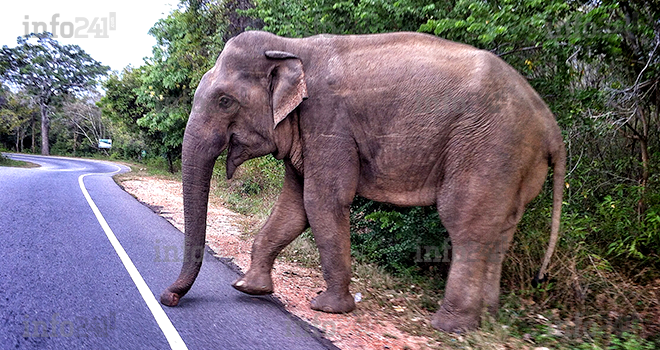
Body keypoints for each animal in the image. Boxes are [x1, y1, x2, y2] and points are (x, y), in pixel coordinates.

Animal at [162, 28, 564, 332]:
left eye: (225, 101)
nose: (170, 297)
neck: (291, 46)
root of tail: (550, 126)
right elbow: (294, 206)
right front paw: (249, 288)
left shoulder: (328, 121)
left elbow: (322, 200)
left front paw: (326, 308)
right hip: (517, 161)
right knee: (502, 231)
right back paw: (490, 321)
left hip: (488, 145)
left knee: (466, 224)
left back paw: (450, 327)